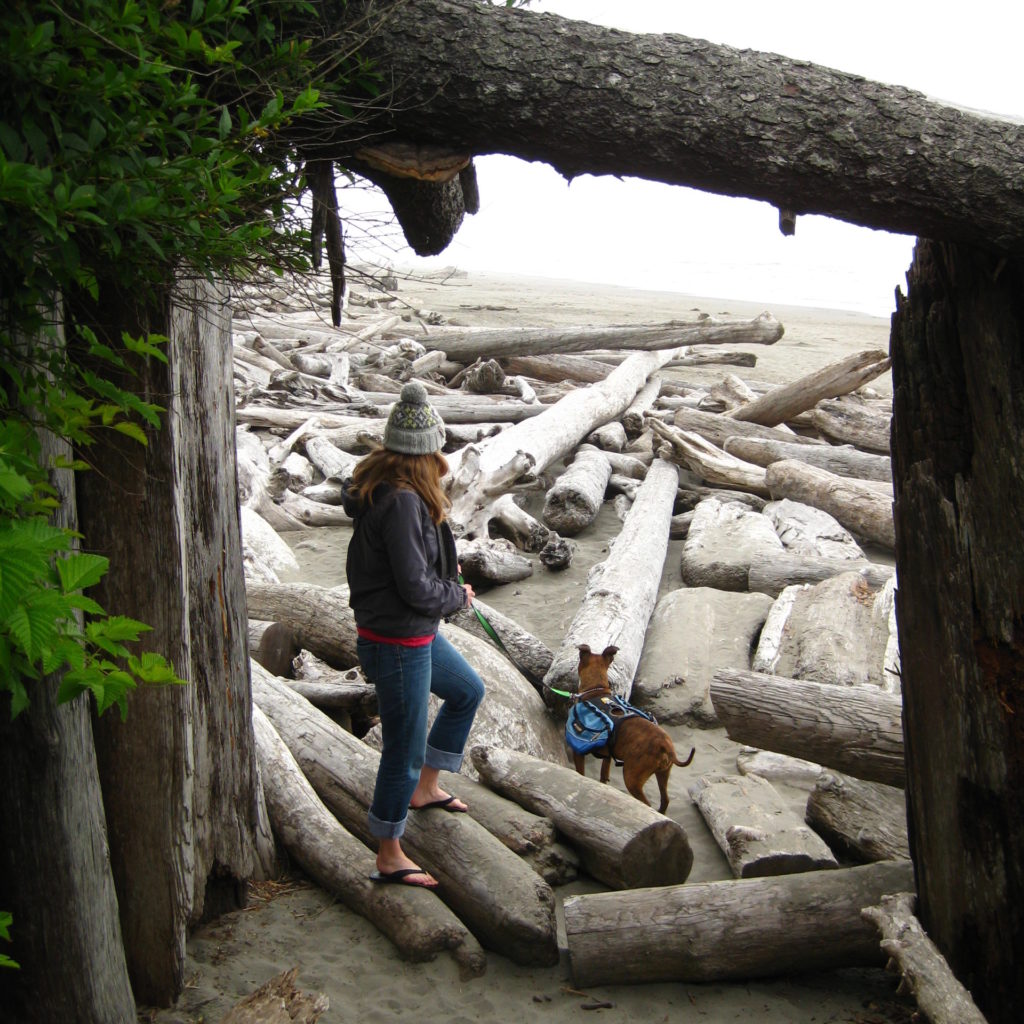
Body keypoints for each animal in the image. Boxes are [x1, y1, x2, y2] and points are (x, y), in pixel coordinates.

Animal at [573, 643, 692, 811]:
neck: (596, 690)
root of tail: (665, 745)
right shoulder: (608, 756)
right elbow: (603, 775)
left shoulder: (578, 752)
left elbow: (580, 774)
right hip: (663, 774)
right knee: (665, 800)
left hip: (632, 778)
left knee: (646, 803)